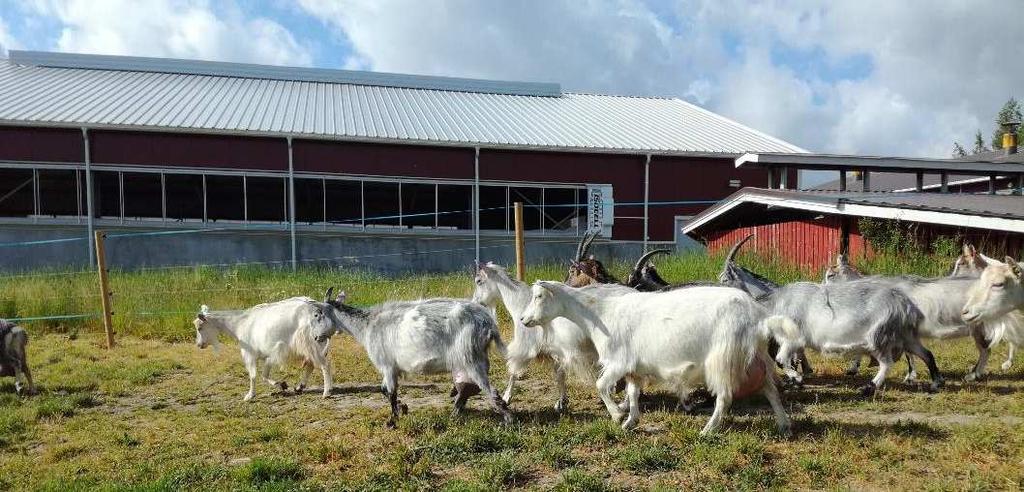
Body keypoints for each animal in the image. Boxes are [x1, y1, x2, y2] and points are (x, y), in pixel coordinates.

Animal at [192, 297, 331, 401]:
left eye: (200, 327)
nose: (199, 345)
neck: (239, 324)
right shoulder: (269, 356)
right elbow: (264, 375)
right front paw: (281, 385)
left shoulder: (250, 354)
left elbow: (253, 375)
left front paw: (249, 396)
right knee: (311, 365)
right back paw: (300, 387)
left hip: (311, 344)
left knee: (324, 365)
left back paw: (327, 392)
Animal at [311, 289, 516, 426]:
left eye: (317, 314)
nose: (315, 338)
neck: (368, 325)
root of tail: (488, 323)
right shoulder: (392, 369)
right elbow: (386, 391)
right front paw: (403, 408)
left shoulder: (387, 365)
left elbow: (389, 391)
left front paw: (392, 420)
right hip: (467, 360)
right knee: (467, 387)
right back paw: (455, 413)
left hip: (471, 357)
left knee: (487, 389)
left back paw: (507, 420)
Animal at [471, 261, 630, 412]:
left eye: (479, 281)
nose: (475, 302)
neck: (521, 304)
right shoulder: (556, 350)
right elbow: (559, 375)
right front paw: (561, 402)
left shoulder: (525, 346)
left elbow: (513, 372)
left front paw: (506, 398)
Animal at [516, 280, 794, 434]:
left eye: (539, 296)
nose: (523, 319)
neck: (601, 313)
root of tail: (759, 317)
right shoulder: (633, 368)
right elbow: (632, 393)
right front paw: (630, 421)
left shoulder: (618, 362)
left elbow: (601, 385)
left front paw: (616, 415)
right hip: (755, 358)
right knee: (770, 389)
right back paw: (784, 425)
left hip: (722, 358)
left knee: (725, 397)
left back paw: (708, 430)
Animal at [765, 276, 937, 395]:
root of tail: (906, 305)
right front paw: (795, 381)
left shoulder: (791, 339)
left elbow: (780, 359)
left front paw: (797, 379)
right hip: (907, 337)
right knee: (927, 354)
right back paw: (935, 384)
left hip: (878, 337)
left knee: (887, 363)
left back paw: (868, 388)